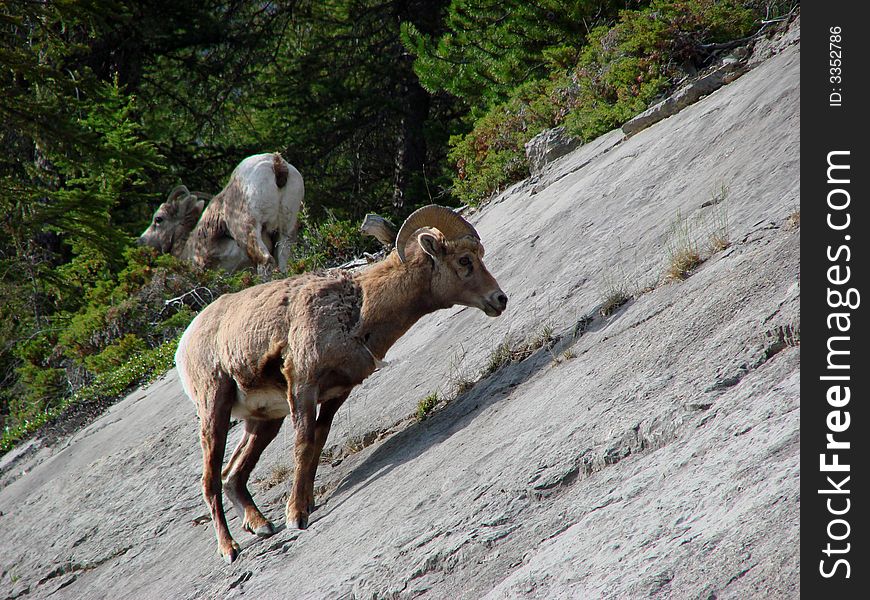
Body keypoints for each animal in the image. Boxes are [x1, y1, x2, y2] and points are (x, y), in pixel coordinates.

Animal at [138, 152, 304, 272]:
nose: (140, 241)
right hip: (286, 232)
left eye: (158, 219)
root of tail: (276, 164)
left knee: (265, 259)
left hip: (247, 228)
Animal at [174, 205, 508, 564]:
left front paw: (306, 505)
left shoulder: (336, 394)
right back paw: (230, 549)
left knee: (232, 475)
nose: (499, 299)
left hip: (264, 421)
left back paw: (261, 525)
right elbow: (303, 445)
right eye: (464, 260)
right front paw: (296, 517)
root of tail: (184, 344)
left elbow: (317, 444)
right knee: (210, 481)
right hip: (215, 410)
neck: (357, 313)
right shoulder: (302, 386)